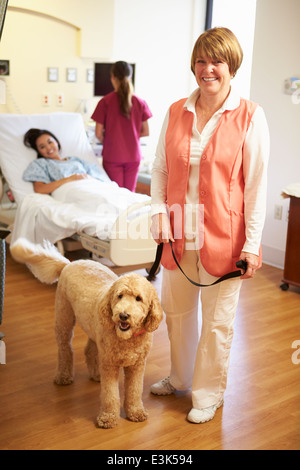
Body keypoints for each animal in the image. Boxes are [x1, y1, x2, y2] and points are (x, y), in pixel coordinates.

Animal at [10, 241, 163, 428]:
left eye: (138, 298)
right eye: (119, 296)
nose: (123, 315)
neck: (126, 339)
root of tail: (69, 263)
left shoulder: (137, 365)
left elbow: (135, 390)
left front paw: (136, 412)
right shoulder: (109, 364)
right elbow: (110, 395)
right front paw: (108, 418)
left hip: (93, 329)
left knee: (89, 350)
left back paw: (96, 374)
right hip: (64, 318)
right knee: (65, 349)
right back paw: (64, 376)